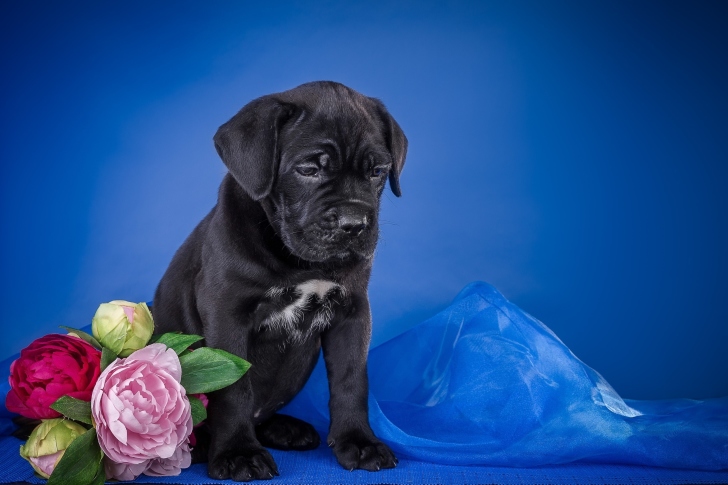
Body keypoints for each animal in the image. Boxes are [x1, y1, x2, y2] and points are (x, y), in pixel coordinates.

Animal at [154, 81, 406, 478]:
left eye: (378, 171)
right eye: (308, 169)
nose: (353, 224)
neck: (300, 261)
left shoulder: (352, 311)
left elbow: (352, 380)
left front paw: (359, 441)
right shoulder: (227, 314)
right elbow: (234, 388)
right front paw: (239, 453)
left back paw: (285, 428)